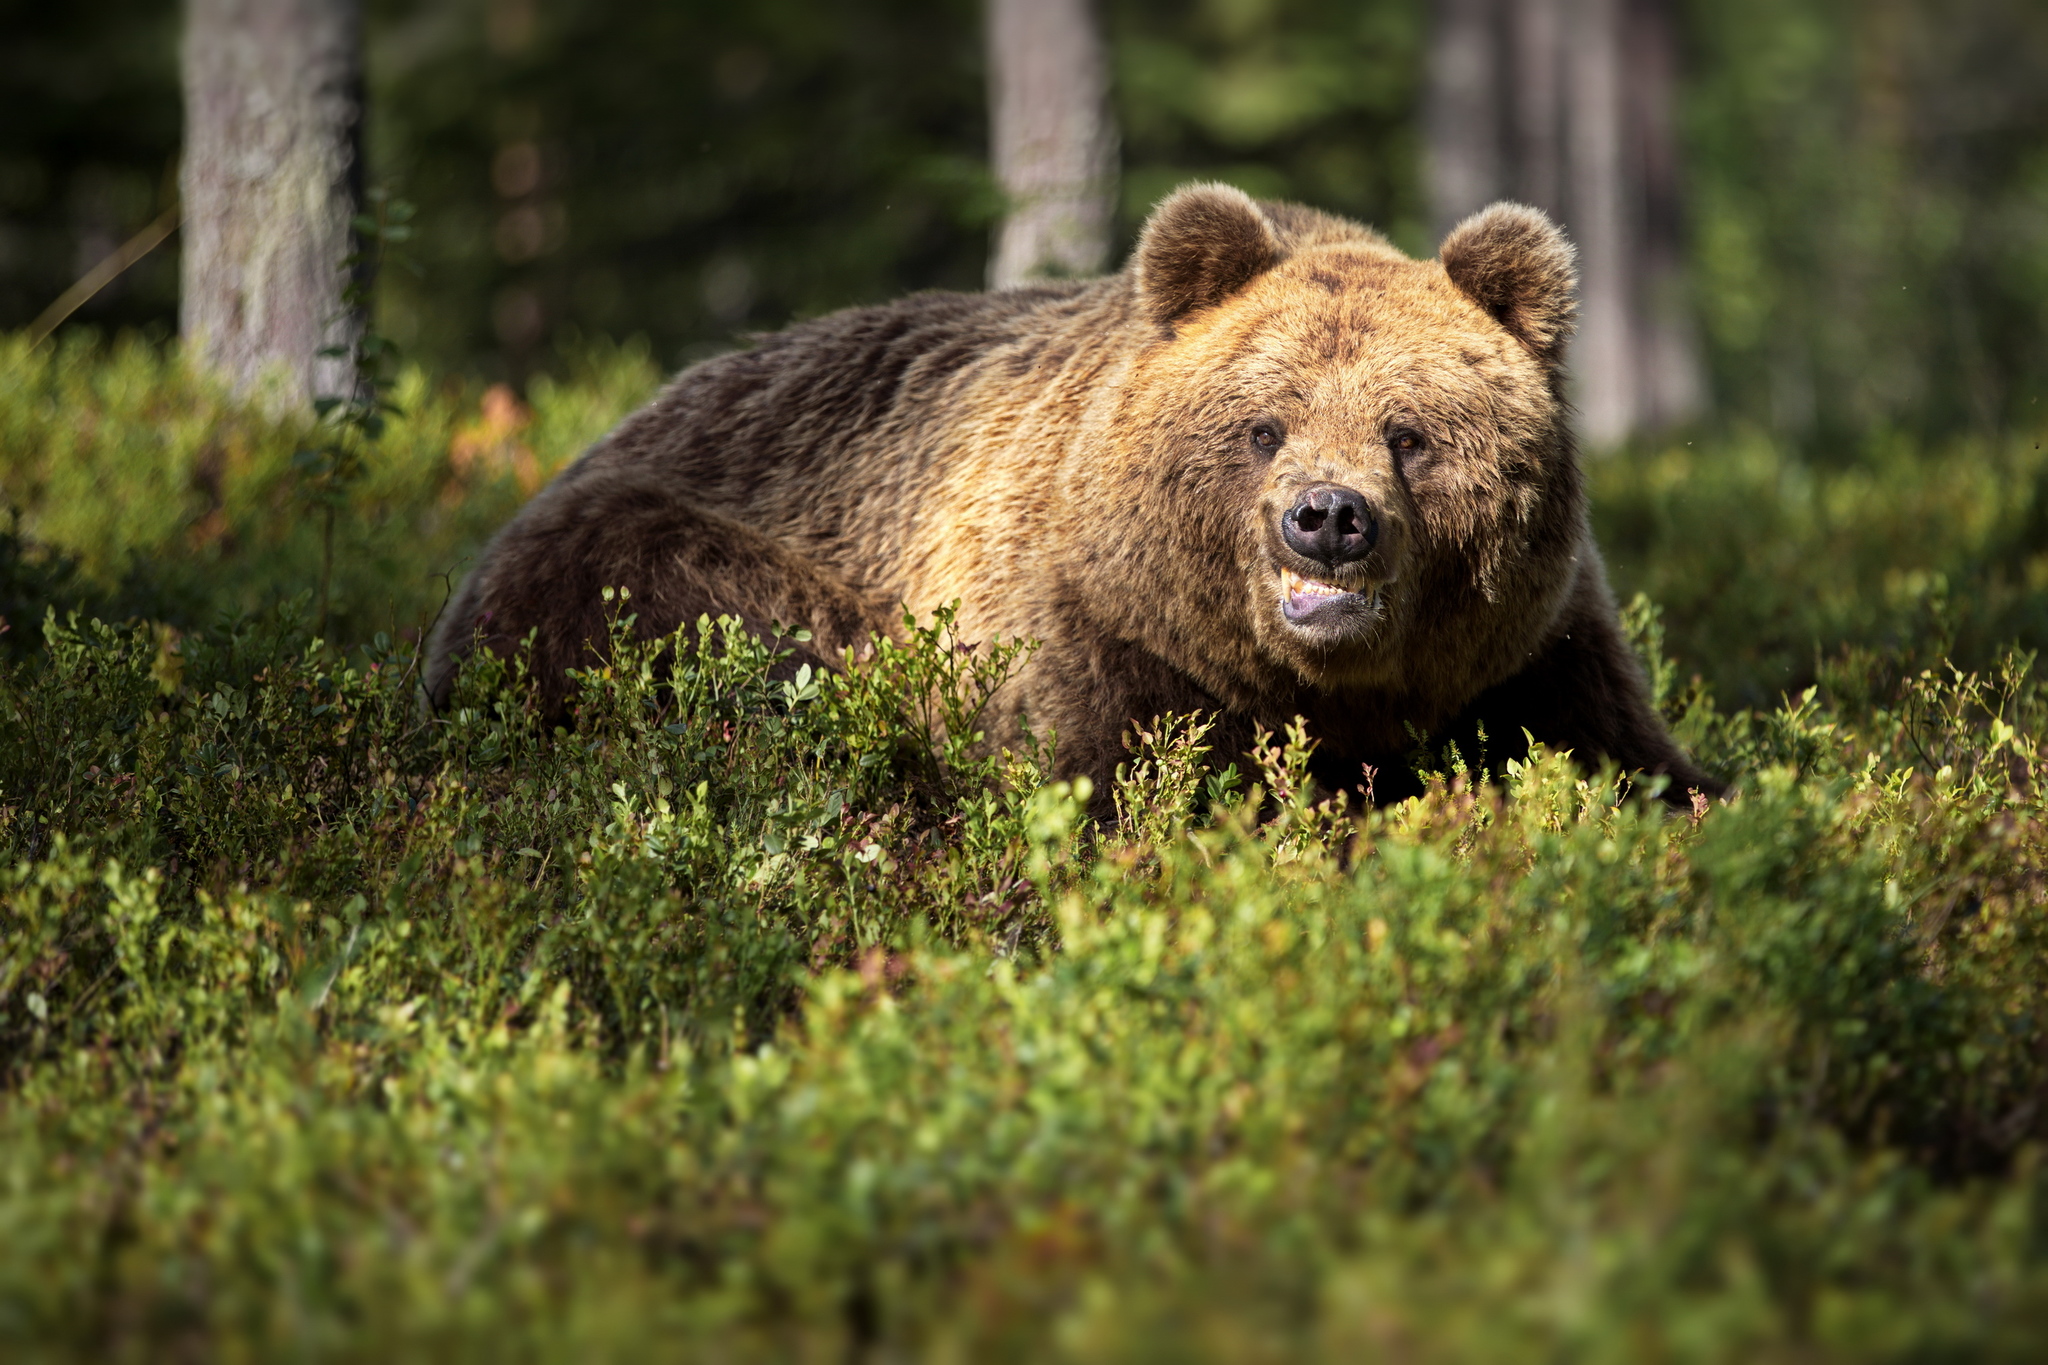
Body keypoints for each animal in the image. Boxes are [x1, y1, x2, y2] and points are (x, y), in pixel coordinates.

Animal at [423, 180, 1720, 802]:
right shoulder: (1087, 635)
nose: (1325, 520)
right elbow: (1099, 789)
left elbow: (1629, 759)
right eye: (1264, 426)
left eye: (1408, 435)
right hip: (641, 559)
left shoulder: (1528, 650)